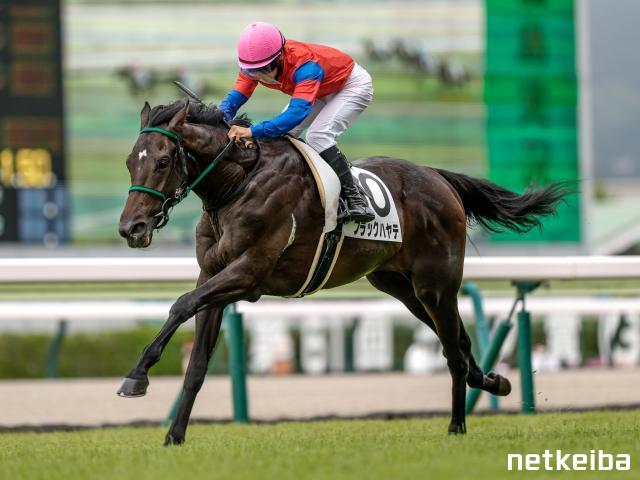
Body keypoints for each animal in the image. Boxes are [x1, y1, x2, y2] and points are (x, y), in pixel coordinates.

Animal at [118, 99, 568, 445]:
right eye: (129, 163)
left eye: (162, 161)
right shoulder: (213, 275)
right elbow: (196, 363)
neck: (236, 184)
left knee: (454, 352)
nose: (130, 229)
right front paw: (174, 435)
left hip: (435, 285)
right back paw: (493, 381)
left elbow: (181, 304)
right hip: (400, 287)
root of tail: (438, 177)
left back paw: (457, 425)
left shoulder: (248, 274)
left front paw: (136, 377)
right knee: (456, 341)